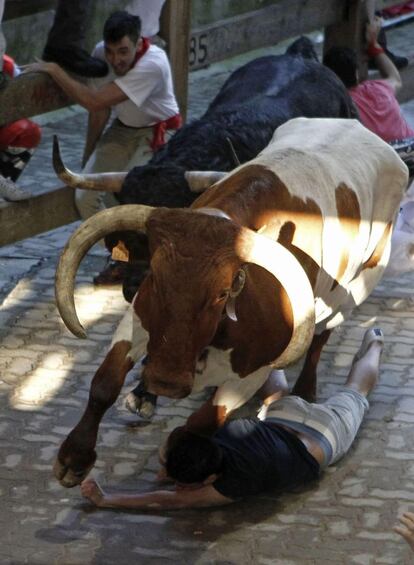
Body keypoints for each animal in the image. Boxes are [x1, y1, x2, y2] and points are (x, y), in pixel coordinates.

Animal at [51, 118, 408, 484]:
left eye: (223, 292)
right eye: (156, 276)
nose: (165, 382)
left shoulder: (253, 371)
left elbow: (201, 423)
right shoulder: (139, 317)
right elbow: (105, 382)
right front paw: (74, 457)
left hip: (355, 289)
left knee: (322, 336)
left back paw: (306, 389)